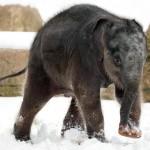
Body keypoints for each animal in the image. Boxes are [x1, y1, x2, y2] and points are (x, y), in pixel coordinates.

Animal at [13, 3, 148, 142]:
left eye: (145, 59)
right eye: (117, 60)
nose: (127, 131)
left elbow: (124, 93)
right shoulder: (83, 59)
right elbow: (88, 95)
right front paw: (102, 142)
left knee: (74, 100)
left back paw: (72, 137)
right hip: (40, 65)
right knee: (35, 99)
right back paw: (24, 140)